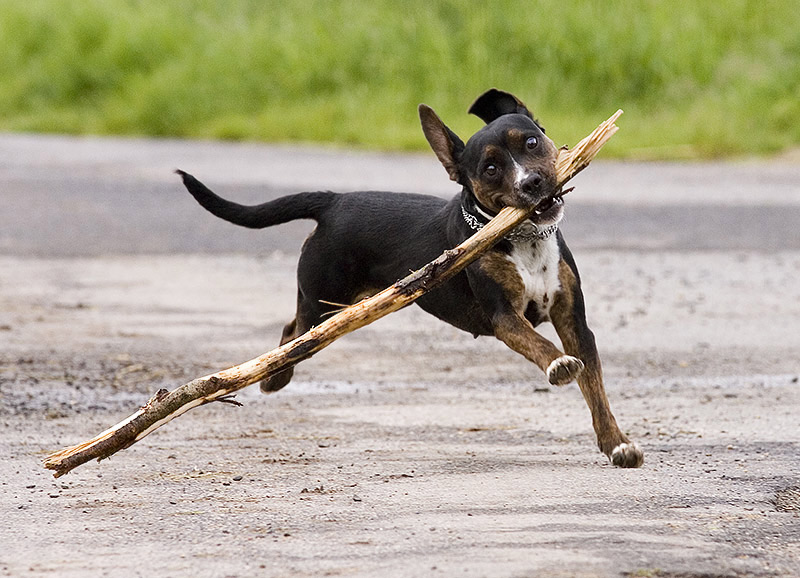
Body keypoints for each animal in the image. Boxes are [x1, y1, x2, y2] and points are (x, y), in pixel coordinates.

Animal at [177, 90, 644, 468]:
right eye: (491, 168)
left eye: (531, 143)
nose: (533, 182)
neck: (524, 240)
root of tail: (332, 202)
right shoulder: (504, 318)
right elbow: (540, 345)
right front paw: (559, 364)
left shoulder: (574, 322)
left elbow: (596, 388)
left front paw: (616, 444)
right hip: (322, 303)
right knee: (293, 334)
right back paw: (275, 377)